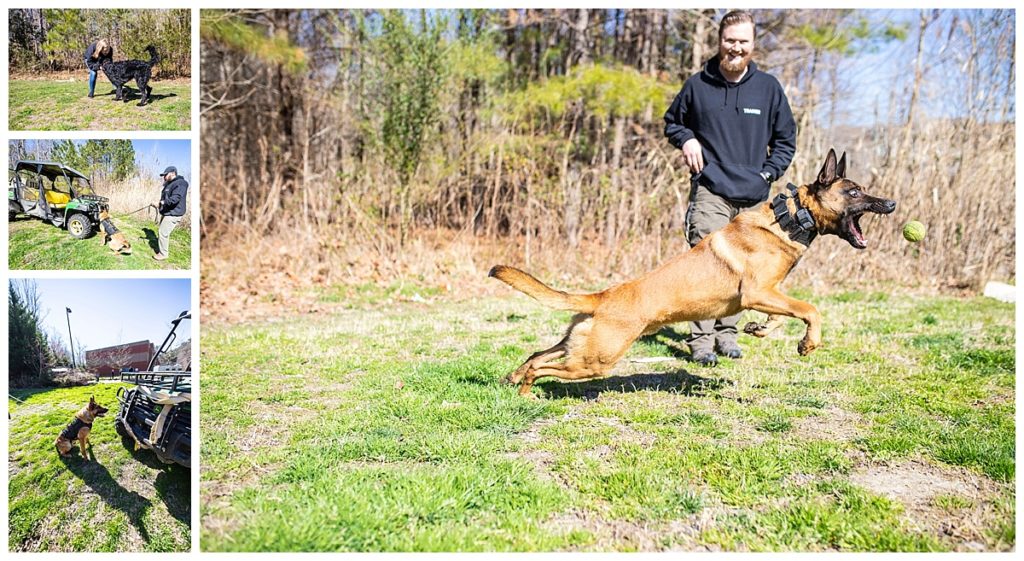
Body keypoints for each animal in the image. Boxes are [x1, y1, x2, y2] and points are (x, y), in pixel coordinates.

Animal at [491, 146, 892, 397]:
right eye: (854, 192)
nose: (890, 203)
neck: (789, 218)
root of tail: (602, 296)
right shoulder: (757, 293)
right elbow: (811, 309)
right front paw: (809, 343)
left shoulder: (767, 294)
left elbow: (783, 315)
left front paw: (760, 329)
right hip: (595, 361)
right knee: (543, 368)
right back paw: (527, 391)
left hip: (578, 346)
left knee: (536, 355)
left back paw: (513, 378)